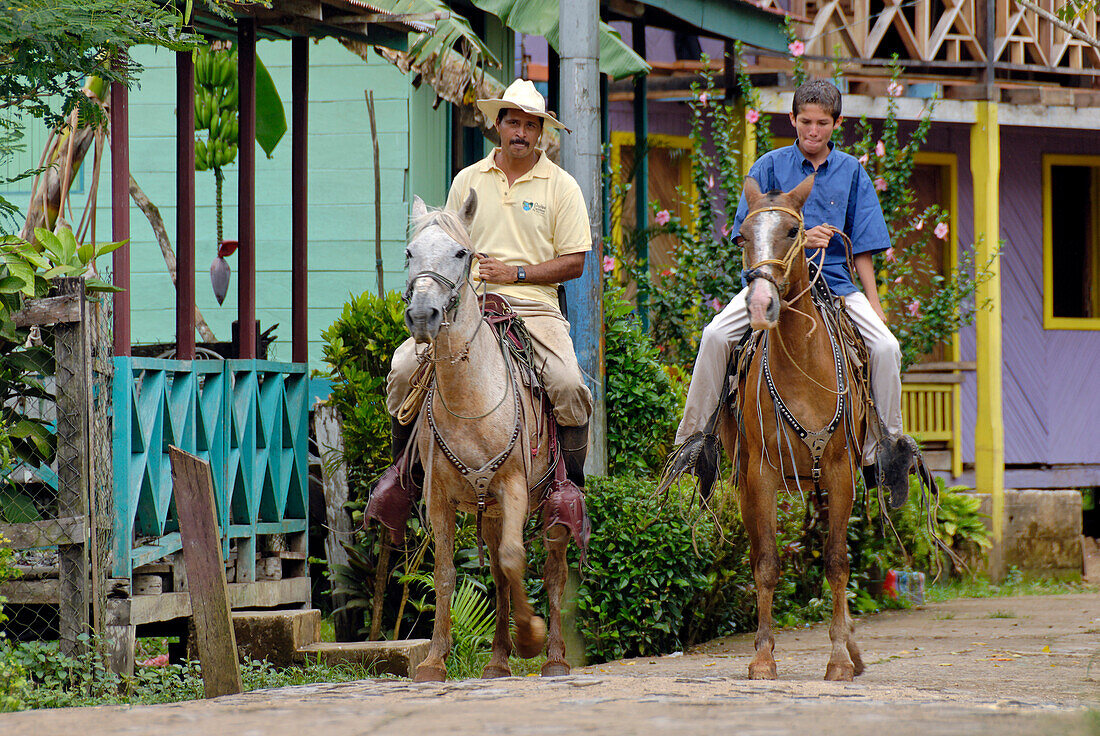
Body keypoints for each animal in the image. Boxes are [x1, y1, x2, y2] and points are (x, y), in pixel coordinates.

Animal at [402, 192, 576, 682]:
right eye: (409, 253)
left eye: (462, 253)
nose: (422, 315)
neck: (470, 397)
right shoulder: (439, 499)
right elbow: (445, 574)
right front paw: (434, 661)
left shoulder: (514, 487)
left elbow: (518, 558)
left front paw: (531, 637)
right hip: (491, 511)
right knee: (498, 573)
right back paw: (497, 661)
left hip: (547, 504)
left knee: (553, 568)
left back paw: (554, 657)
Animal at [721, 174, 866, 682]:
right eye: (741, 237)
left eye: (791, 232)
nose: (761, 303)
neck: (804, 368)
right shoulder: (761, 475)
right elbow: (766, 562)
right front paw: (763, 656)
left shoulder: (841, 473)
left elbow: (838, 562)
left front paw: (839, 658)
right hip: (747, 484)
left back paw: (853, 649)